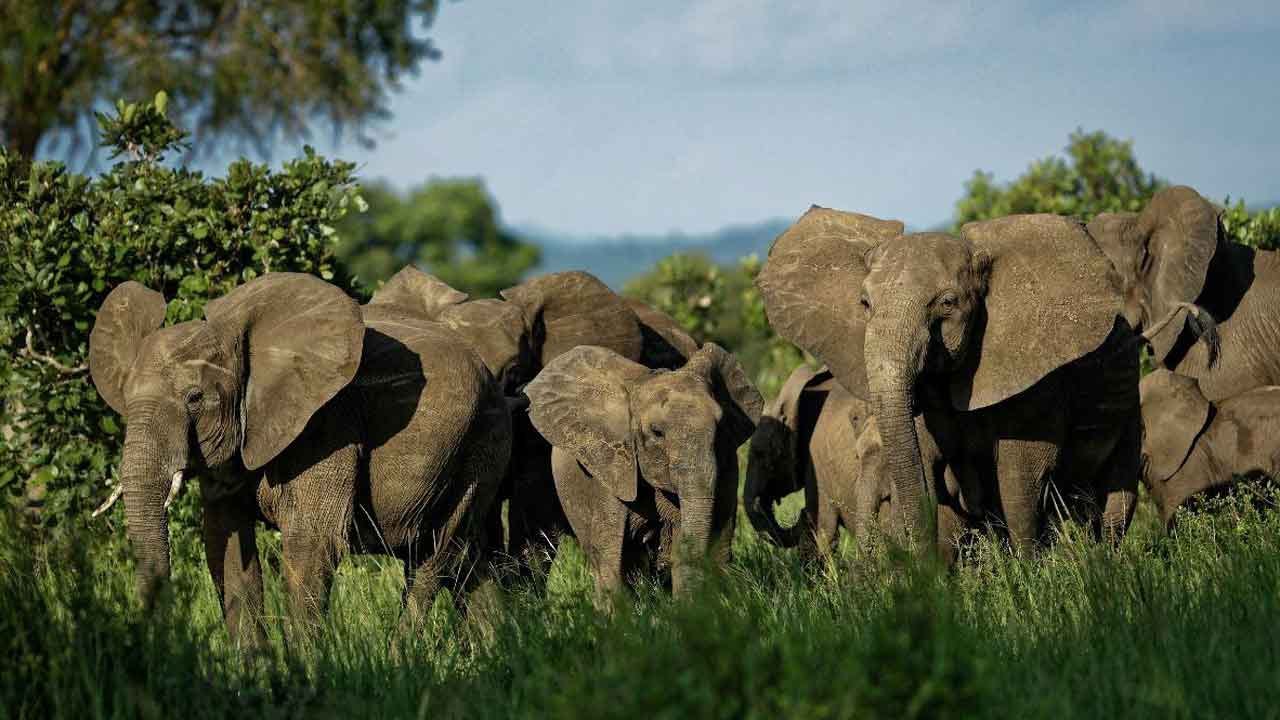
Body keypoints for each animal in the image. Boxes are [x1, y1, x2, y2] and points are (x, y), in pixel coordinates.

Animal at [89, 273, 511, 646]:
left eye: (194, 397)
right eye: (126, 397)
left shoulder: (331, 422)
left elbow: (312, 541)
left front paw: (306, 669)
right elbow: (226, 541)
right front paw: (255, 674)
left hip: (480, 443)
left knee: (435, 555)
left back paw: (402, 656)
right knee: (472, 561)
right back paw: (498, 654)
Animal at [757, 208, 1216, 553]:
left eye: (948, 303)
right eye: (865, 303)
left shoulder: (1035, 377)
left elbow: (1020, 474)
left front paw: (1031, 581)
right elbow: (929, 465)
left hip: (1127, 411)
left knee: (1114, 503)